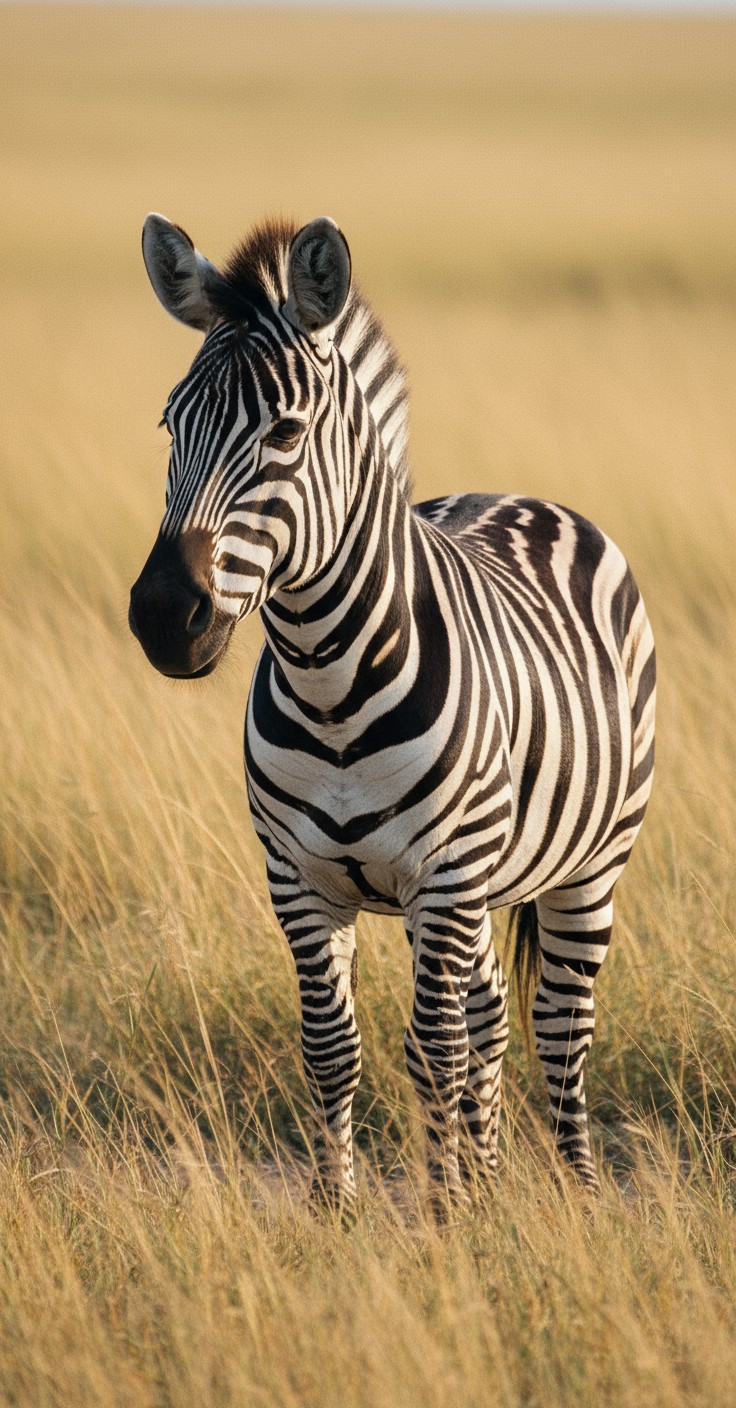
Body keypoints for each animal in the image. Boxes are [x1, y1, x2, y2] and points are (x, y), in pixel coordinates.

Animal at [129, 212, 656, 1210]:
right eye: (169, 424)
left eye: (287, 432)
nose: (164, 618)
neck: (331, 689)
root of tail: (517, 495)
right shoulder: (297, 880)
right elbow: (333, 1049)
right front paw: (341, 1210)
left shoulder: (441, 878)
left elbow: (432, 1053)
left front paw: (446, 1216)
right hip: (485, 886)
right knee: (493, 1013)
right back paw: (492, 1177)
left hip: (588, 868)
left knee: (559, 1028)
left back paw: (573, 1190)